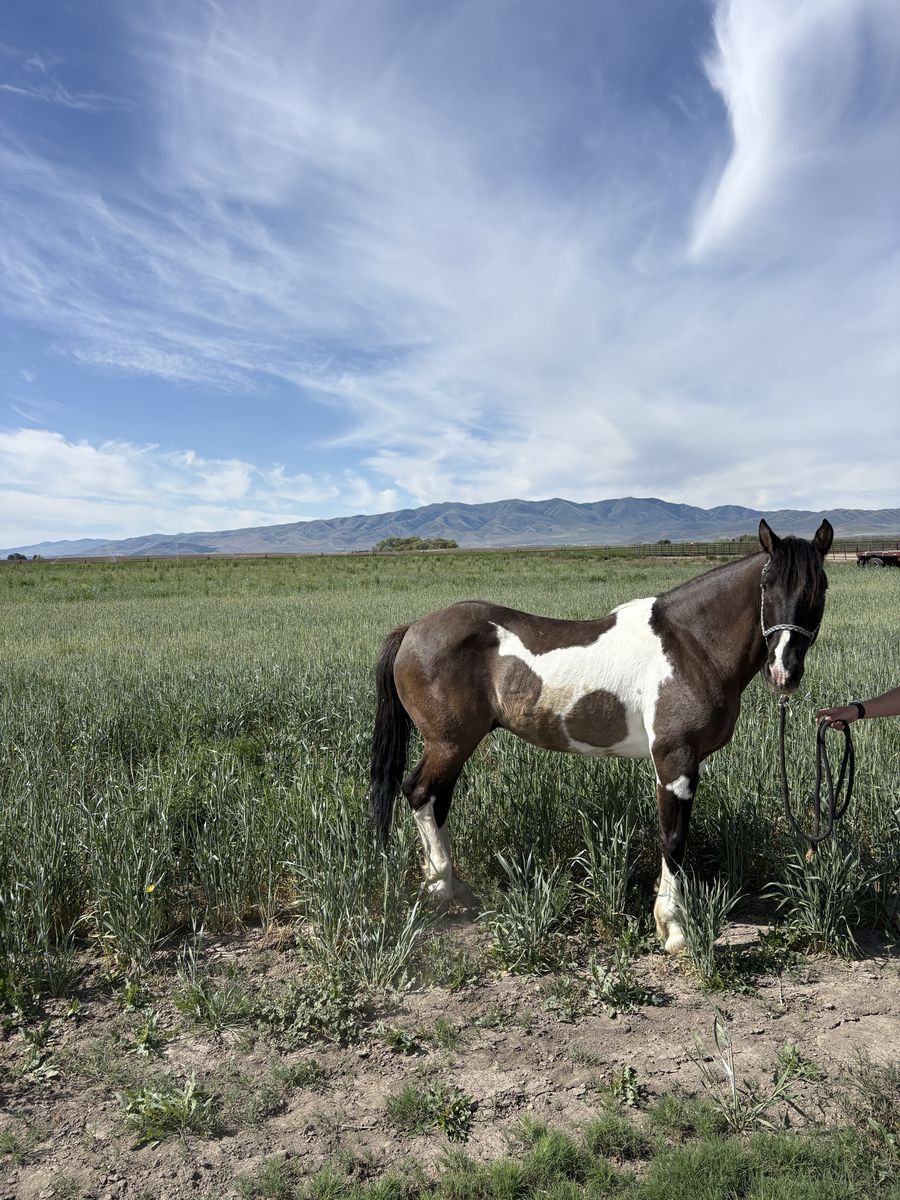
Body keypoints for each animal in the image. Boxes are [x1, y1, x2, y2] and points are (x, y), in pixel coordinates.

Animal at [369, 518, 833, 952]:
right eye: (767, 585)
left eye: (820, 587)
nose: (784, 671)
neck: (691, 644)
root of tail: (413, 630)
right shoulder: (675, 761)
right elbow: (673, 839)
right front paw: (674, 928)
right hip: (448, 743)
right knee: (419, 792)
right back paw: (441, 888)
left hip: (454, 745)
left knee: (436, 799)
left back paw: (448, 885)